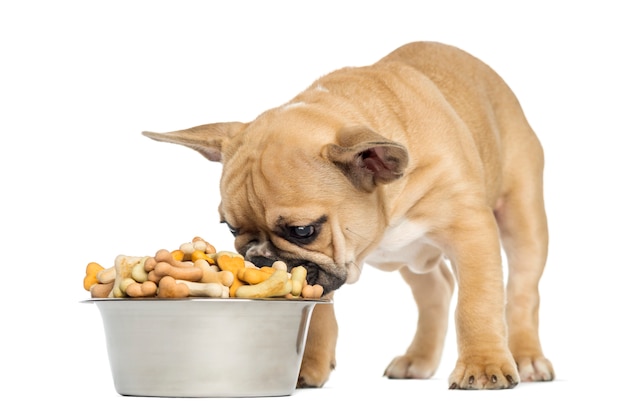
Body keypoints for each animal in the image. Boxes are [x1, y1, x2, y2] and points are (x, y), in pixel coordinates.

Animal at [141, 40, 552, 388]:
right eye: (229, 228)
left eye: (302, 230)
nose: (257, 258)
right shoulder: (320, 272)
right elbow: (317, 314)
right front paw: (308, 366)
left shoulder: (471, 231)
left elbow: (477, 302)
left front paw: (483, 365)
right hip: (410, 257)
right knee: (436, 289)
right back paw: (418, 360)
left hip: (522, 217)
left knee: (522, 291)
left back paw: (527, 359)